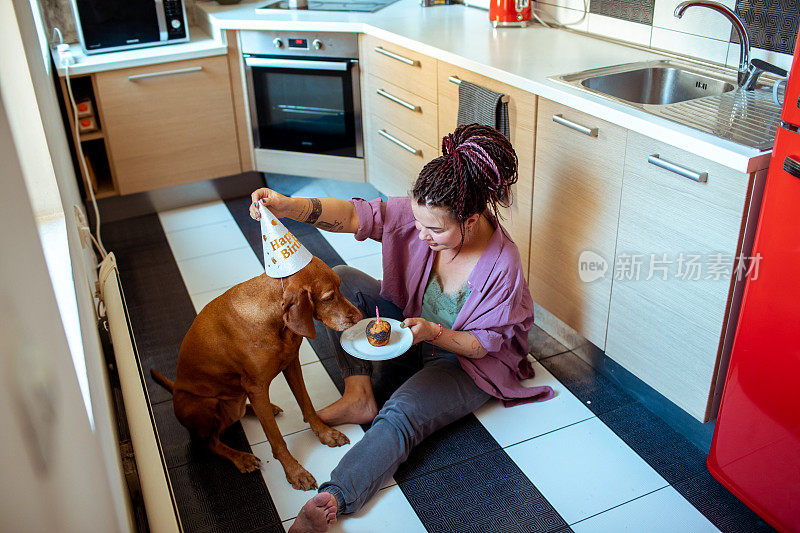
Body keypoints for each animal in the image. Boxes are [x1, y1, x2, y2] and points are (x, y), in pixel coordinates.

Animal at [151, 256, 362, 488]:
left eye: (340, 287)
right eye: (329, 297)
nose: (359, 315)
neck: (273, 316)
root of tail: (174, 390)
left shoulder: (291, 364)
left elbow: (307, 405)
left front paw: (326, 433)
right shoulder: (258, 388)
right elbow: (276, 438)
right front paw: (295, 472)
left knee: (238, 415)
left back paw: (260, 409)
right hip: (204, 404)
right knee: (210, 442)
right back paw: (241, 457)